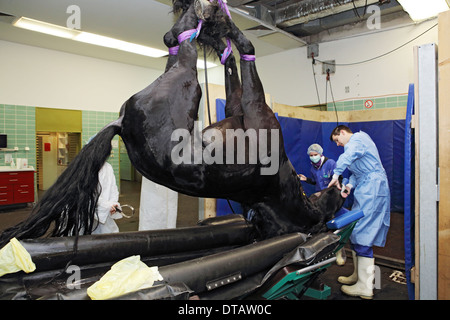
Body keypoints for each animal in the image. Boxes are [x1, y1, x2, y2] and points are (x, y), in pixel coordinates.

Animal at [0, 0, 342, 248]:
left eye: (338, 196)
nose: (340, 187)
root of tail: (122, 123)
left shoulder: (257, 111)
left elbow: (248, 54)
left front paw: (225, 30)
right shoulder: (241, 111)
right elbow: (233, 70)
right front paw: (221, 42)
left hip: (188, 80)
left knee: (178, 42)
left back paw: (202, 17)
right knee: (177, 42)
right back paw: (210, 21)